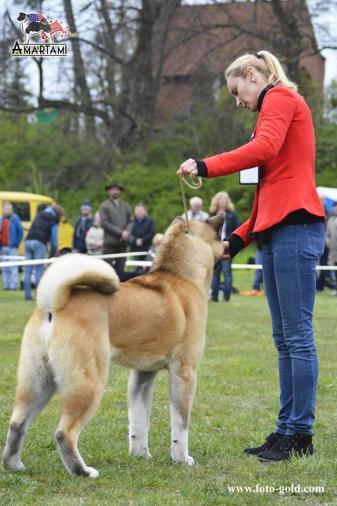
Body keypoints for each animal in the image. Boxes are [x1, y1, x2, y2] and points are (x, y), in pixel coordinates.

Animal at [2, 216, 224, 478]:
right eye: (214, 227)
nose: (222, 221)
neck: (182, 277)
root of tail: (54, 304)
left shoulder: (142, 375)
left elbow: (139, 421)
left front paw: (141, 455)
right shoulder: (184, 371)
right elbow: (181, 424)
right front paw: (182, 459)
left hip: (39, 381)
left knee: (17, 424)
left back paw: (14, 465)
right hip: (88, 384)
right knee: (64, 433)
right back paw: (83, 471)